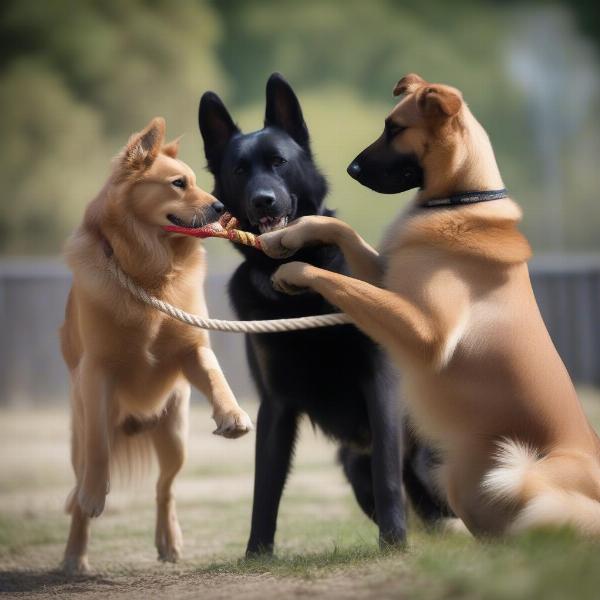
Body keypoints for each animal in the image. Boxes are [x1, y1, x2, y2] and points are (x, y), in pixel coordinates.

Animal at [62, 116, 253, 572]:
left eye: (197, 181)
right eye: (178, 183)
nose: (220, 207)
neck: (150, 274)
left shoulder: (192, 348)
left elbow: (217, 378)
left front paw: (233, 415)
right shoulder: (97, 371)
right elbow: (98, 450)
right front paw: (95, 495)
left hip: (174, 437)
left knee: (165, 488)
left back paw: (169, 541)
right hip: (80, 443)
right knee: (80, 489)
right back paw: (74, 553)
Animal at [199, 74, 448, 552]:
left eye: (278, 162)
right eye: (240, 171)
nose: (262, 201)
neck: (296, 280)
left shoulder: (381, 384)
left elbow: (387, 470)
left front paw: (393, 541)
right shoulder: (275, 402)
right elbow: (266, 483)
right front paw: (256, 553)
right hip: (353, 463)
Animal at [262, 72, 600, 536]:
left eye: (395, 128)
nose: (351, 169)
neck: (459, 202)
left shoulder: (423, 330)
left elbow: (333, 277)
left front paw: (297, 271)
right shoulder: (385, 278)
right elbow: (340, 229)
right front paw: (288, 236)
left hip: (510, 480)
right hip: (461, 480)